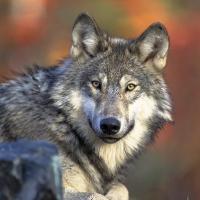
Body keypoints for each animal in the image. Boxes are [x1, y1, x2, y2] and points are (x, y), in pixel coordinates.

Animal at [0, 13, 173, 199]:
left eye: (130, 87)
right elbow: (95, 195)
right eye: (96, 84)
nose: (110, 125)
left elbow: (121, 188)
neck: (65, 127)